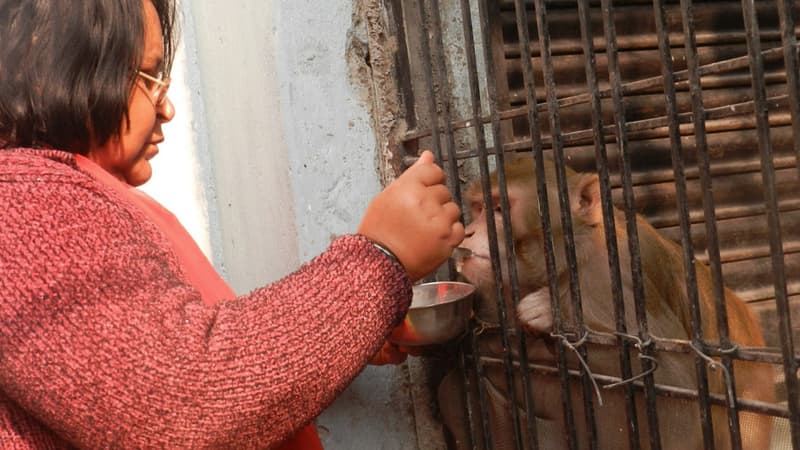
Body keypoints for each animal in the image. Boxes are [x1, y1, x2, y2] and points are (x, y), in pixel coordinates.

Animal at [438, 155, 776, 450]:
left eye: (498, 209)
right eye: (478, 207)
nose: (467, 232)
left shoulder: (619, 274)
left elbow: (683, 397)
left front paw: (554, 315)